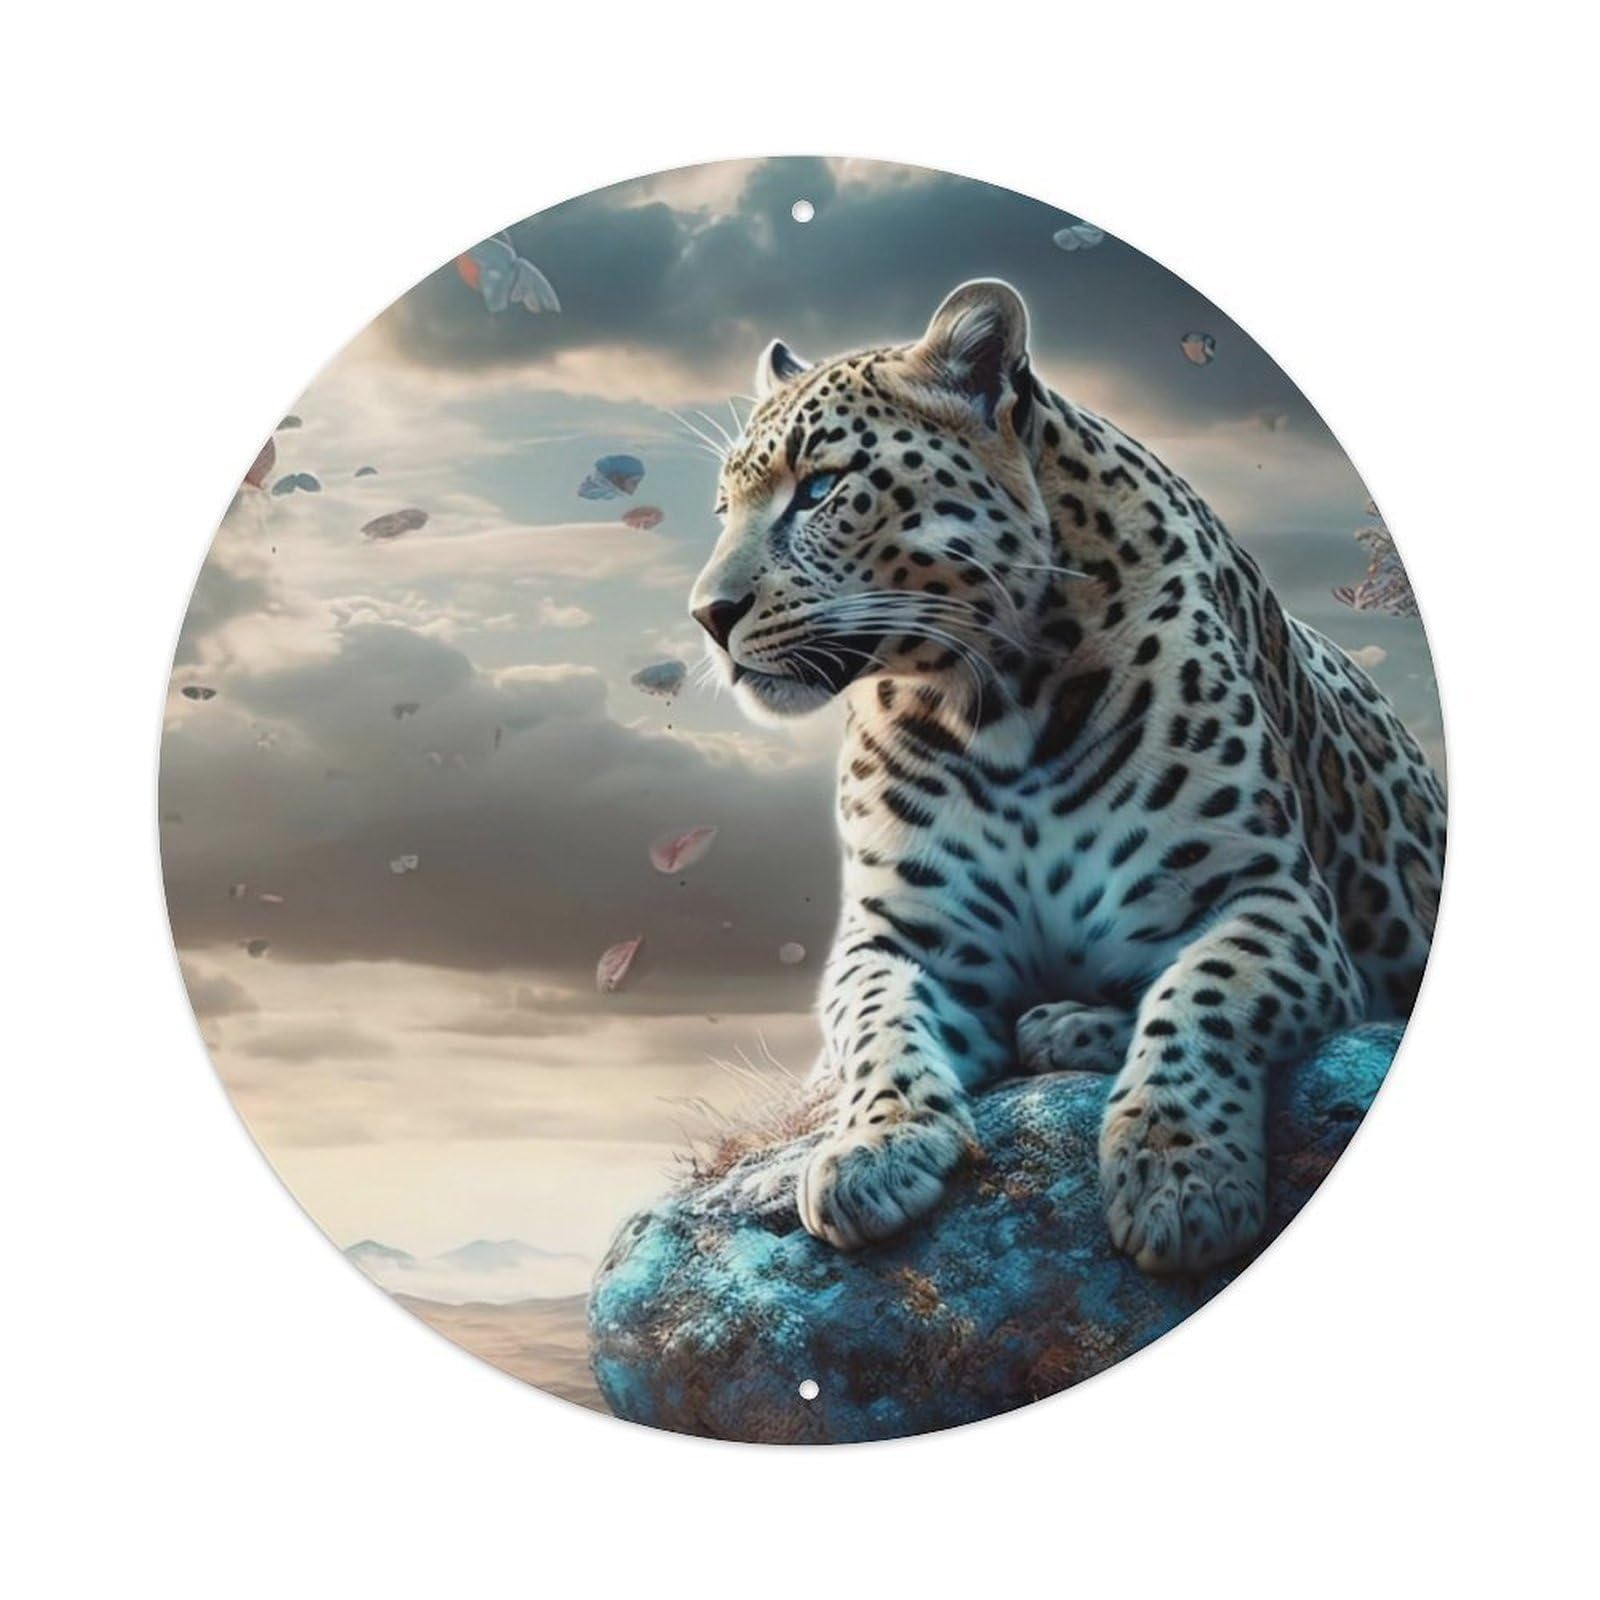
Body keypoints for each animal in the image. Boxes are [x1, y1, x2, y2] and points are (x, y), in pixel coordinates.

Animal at [688, 279, 1445, 1274]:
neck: (996, 705)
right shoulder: (903, 934)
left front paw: (1180, 1176)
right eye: (724, 508)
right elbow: (873, 1022)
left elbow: (1201, 996)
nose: (706, 614)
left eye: (819, 488)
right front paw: (875, 1147)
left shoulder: (1272, 898)